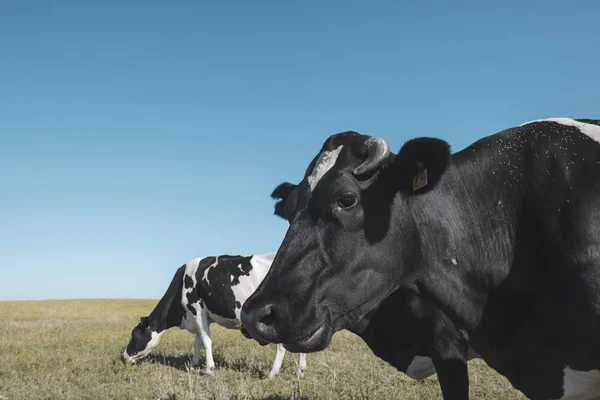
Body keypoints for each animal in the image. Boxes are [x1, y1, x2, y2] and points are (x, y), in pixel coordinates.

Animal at [122, 252, 310, 380]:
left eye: (134, 334)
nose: (123, 356)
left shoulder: (196, 309)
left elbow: (206, 341)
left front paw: (209, 369)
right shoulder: (201, 316)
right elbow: (198, 340)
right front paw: (193, 364)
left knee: (281, 346)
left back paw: (272, 373)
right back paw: (300, 371)